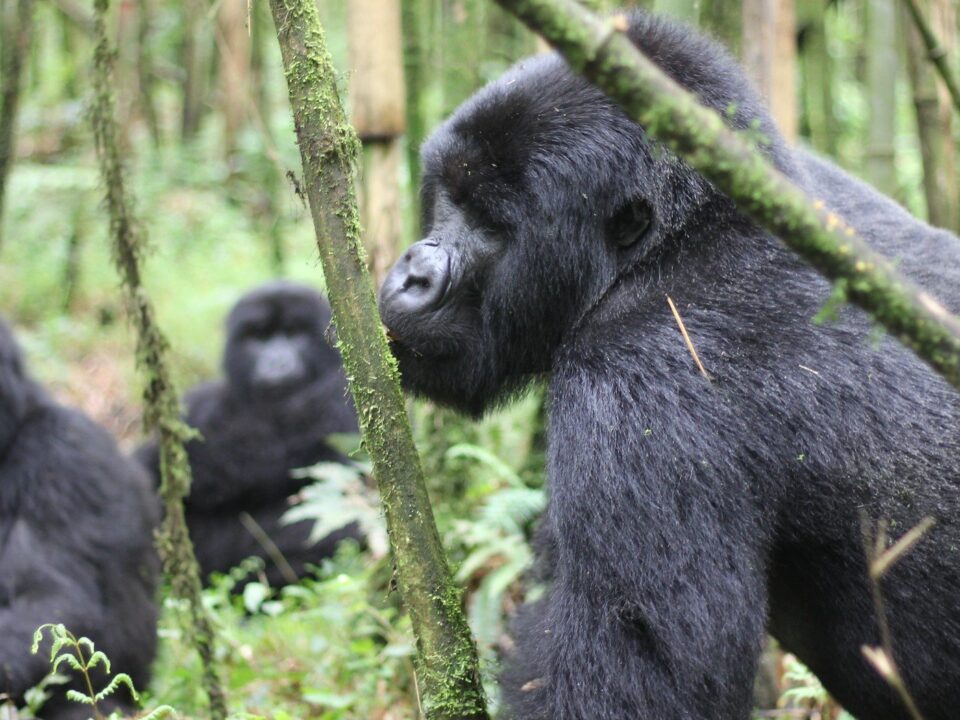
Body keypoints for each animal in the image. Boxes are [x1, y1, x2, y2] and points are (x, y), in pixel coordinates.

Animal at [378, 11, 960, 720]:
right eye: (449, 197)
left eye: (490, 225)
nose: (413, 273)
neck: (678, 239)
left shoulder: (635, 389)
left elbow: (637, 678)